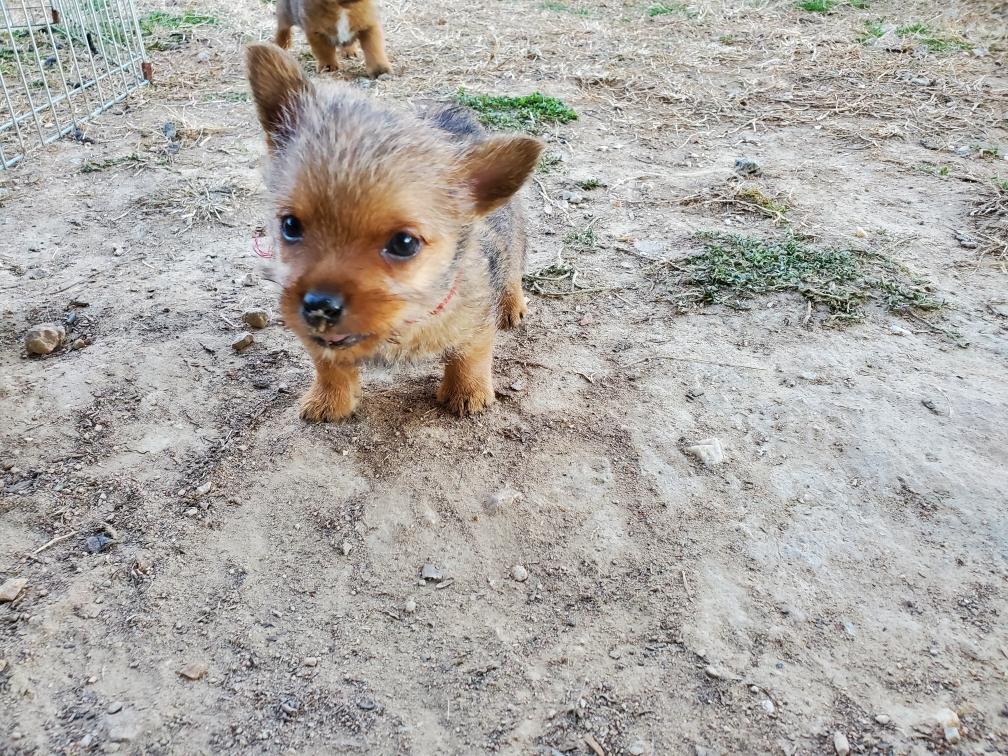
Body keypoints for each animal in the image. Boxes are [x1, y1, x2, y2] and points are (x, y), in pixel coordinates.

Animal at [245, 43, 543, 421]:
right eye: (290, 226)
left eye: (404, 243)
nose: (319, 307)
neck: (404, 321)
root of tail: (455, 116)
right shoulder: (321, 342)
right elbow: (328, 364)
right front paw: (329, 398)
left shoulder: (474, 322)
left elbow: (470, 355)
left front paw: (468, 393)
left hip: (513, 232)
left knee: (513, 264)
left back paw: (512, 305)